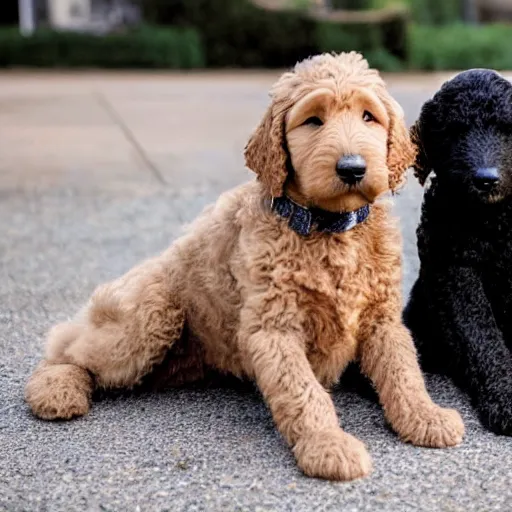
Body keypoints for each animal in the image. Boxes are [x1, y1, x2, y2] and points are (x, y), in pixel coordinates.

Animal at [25, 52, 464, 480]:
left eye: (368, 117)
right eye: (313, 120)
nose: (352, 167)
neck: (329, 228)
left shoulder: (382, 318)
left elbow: (403, 370)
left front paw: (425, 416)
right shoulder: (273, 328)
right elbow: (303, 391)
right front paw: (327, 445)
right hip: (151, 314)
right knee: (69, 347)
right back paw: (55, 389)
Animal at [404, 68, 512, 436]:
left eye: (505, 128)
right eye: (454, 132)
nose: (486, 179)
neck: (491, 221)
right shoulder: (455, 273)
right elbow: (480, 338)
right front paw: (505, 399)